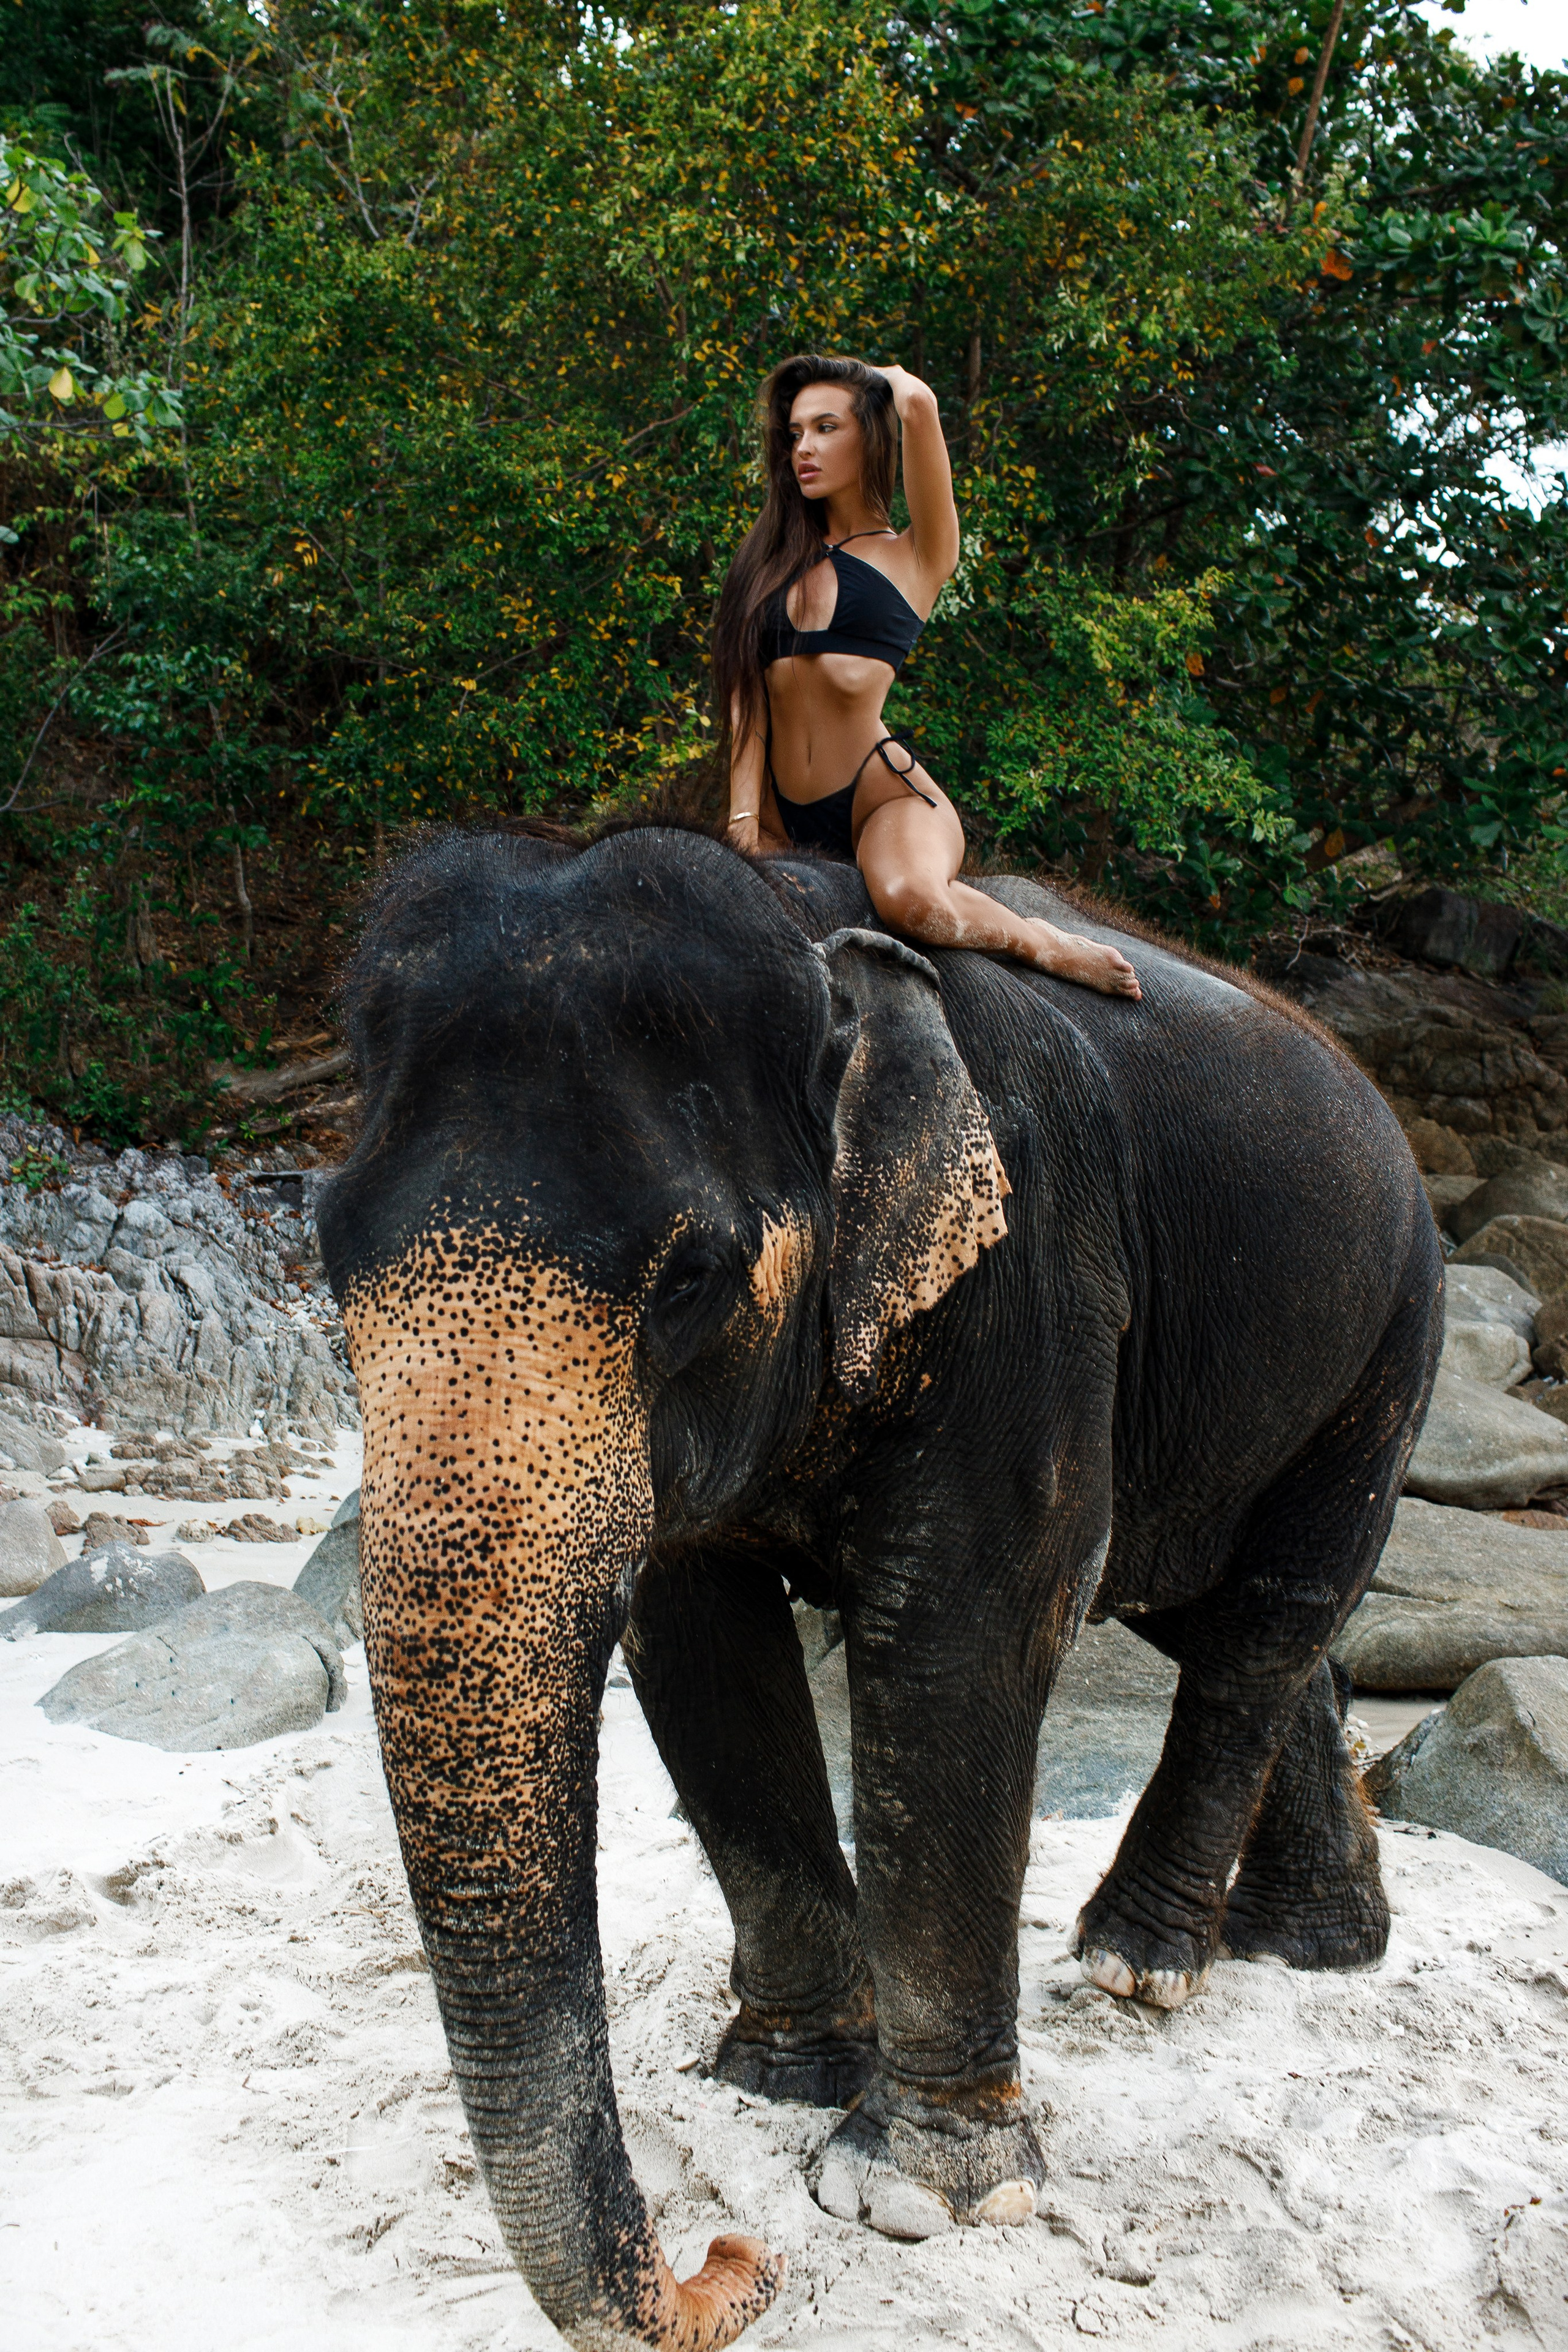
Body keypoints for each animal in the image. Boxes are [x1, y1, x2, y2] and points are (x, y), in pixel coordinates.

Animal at [318, 824, 1441, 2350]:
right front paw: (776, 2082)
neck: (804, 927)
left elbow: (958, 1634)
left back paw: (1139, 1966)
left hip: (1393, 1330)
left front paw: (920, 2192)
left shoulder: (1028, 1273)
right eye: (326, 1248)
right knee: (1232, 1618)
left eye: (688, 1276)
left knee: (1266, 1614)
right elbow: (702, 1643)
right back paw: (1309, 1945)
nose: (726, 2253)